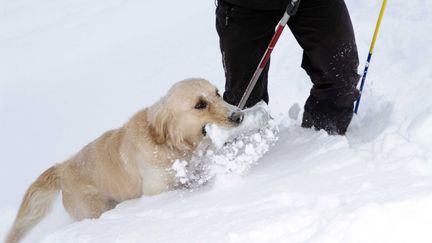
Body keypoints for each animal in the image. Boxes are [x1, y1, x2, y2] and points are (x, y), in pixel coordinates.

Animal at [5, 78, 243, 243]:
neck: (171, 144)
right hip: (96, 208)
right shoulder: (158, 190)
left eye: (217, 93)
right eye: (200, 105)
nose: (238, 115)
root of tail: (62, 168)